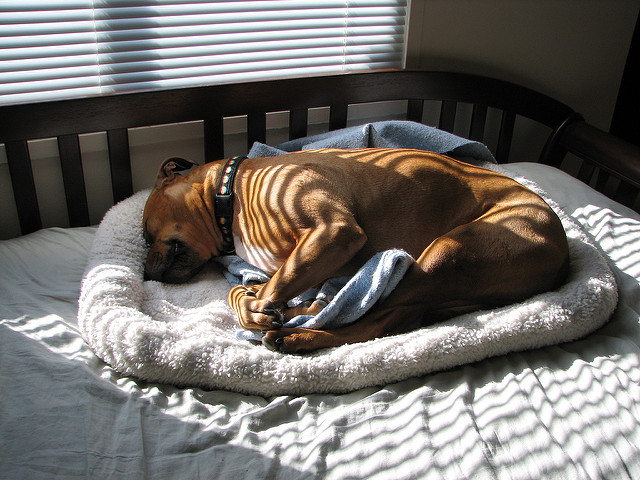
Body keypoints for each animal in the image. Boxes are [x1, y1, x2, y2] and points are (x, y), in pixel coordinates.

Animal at [142, 148, 568, 354]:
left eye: (145, 235)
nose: (145, 273)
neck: (228, 194)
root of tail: (562, 250)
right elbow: (247, 290)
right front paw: (261, 303)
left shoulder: (334, 231)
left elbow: (263, 294)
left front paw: (262, 310)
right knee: (378, 313)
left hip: (444, 253)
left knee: (373, 321)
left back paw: (296, 336)